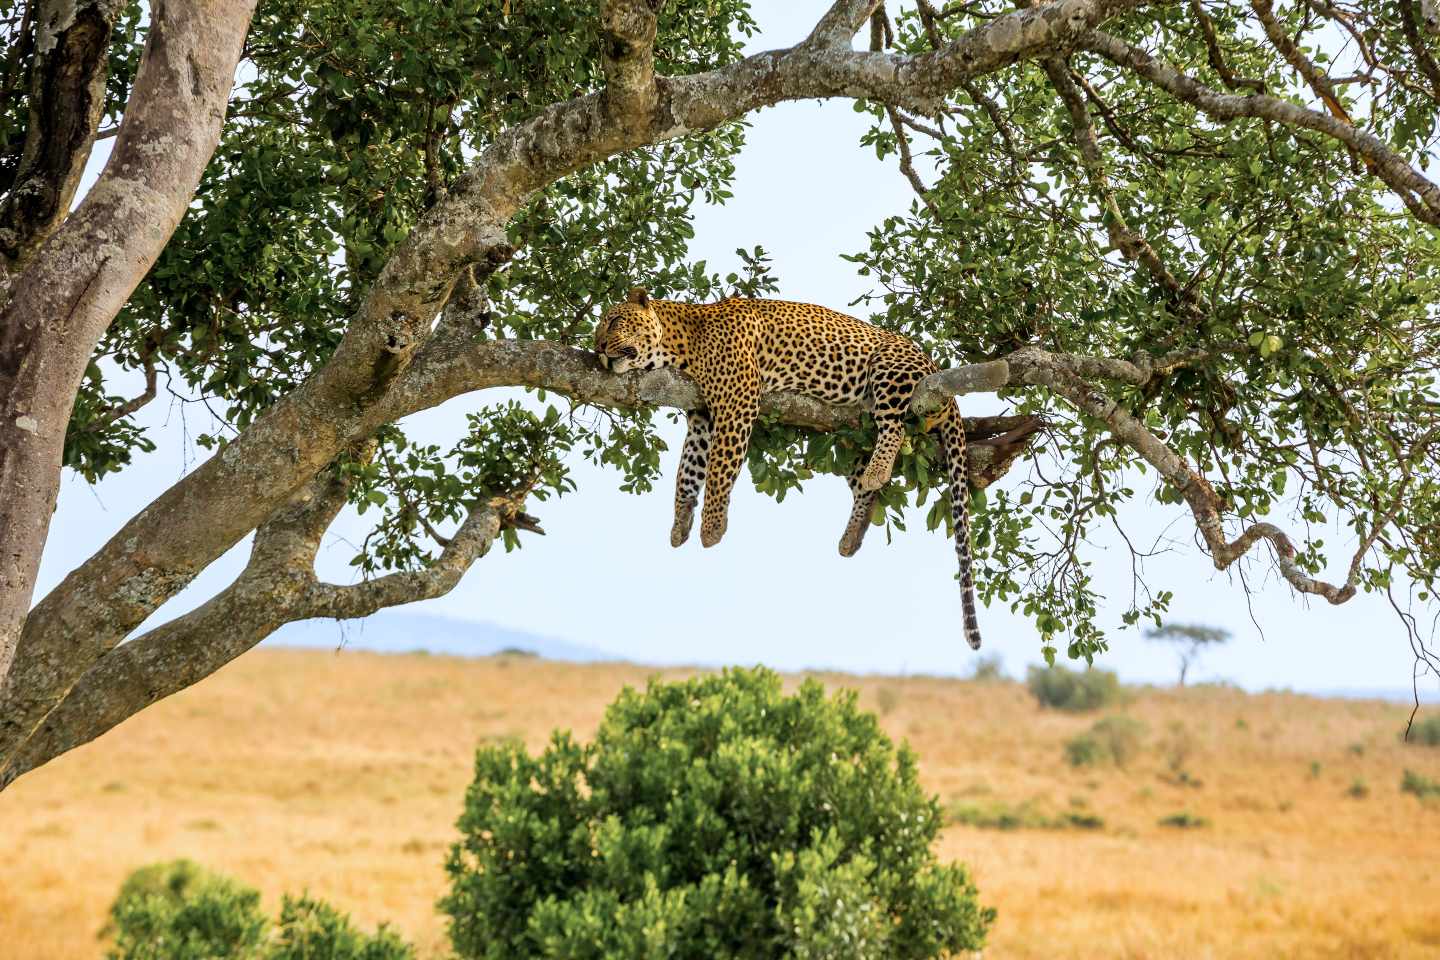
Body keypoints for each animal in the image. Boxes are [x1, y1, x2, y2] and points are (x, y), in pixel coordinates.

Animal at [595, 287, 983, 649]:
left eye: (614, 321)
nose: (597, 346)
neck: (681, 343)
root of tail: (934, 366)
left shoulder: (737, 402)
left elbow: (720, 469)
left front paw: (712, 528)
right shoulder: (702, 417)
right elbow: (687, 472)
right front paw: (679, 524)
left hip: (890, 369)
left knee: (895, 427)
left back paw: (877, 471)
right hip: (851, 435)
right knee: (864, 485)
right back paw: (852, 534)